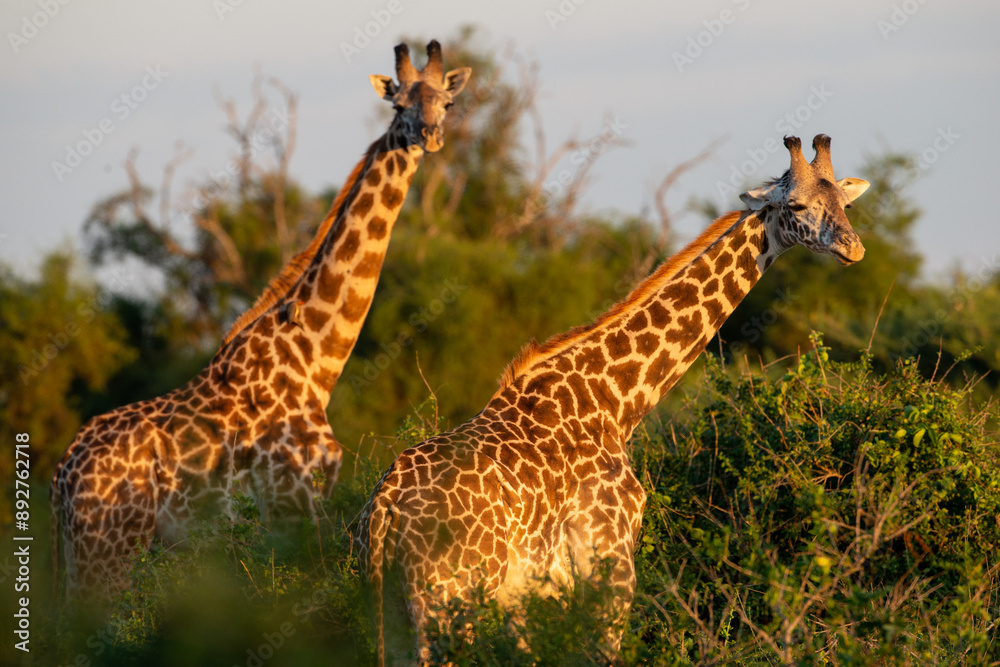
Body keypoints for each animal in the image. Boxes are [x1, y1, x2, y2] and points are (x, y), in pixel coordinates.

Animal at [49, 41, 471, 600]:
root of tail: (61, 478)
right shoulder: (292, 501)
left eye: (446, 102)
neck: (316, 357)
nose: (429, 135)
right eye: (399, 105)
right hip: (109, 555)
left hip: (84, 560)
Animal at [356, 134, 870, 665]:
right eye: (796, 204)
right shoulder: (610, 566)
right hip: (450, 600)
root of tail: (384, 508)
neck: (616, 400)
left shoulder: (531, 597)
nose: (853, 248)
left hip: (390, 606)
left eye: (846, 203)